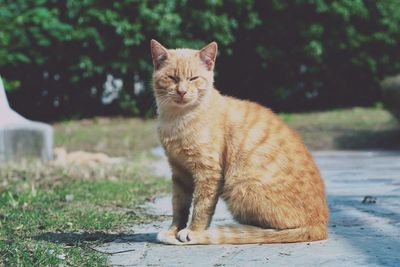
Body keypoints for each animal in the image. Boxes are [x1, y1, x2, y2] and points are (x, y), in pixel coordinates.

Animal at [150, 38, 328, 246]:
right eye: (172, 77)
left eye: (193, 78)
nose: (182, 92)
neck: (177, 119)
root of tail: (320, 225)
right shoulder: (179, 172)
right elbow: (179, 206)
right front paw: (173, 231)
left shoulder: (208, 172)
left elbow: (201, 206)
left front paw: (193, 231)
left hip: (239, 186)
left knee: (273, 230)